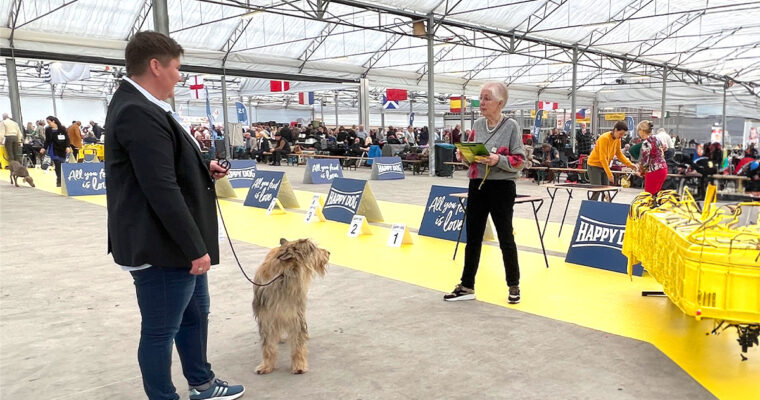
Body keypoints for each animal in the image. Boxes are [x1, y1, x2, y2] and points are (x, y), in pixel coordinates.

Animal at [254, 238, 328, 376]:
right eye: (313, 249)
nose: (328, 253)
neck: (283, 277)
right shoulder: (266, 318)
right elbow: (268, 346)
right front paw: (267, 366)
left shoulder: (295, 316)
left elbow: (298, 344)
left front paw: (299, 365)